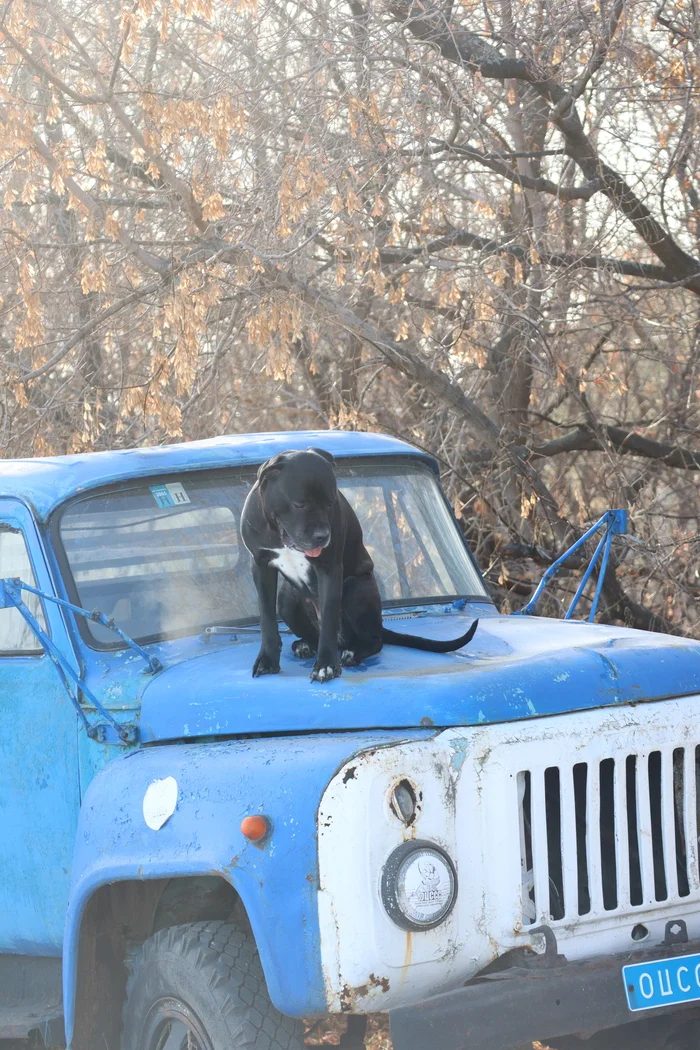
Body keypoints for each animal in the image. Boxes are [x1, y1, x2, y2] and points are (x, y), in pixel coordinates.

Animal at [239, 449, 476, 680]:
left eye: (330, 503)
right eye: (300, 504)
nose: (322, 536)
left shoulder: (329, 569)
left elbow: (328, 619)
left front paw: (326, 666)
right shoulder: (260, 566)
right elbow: (267, 620)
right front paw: (268, 660)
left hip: (355, 589)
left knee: (373, 640)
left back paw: (352, 652)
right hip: (287, 599)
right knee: (315, 634)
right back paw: (305, 645)